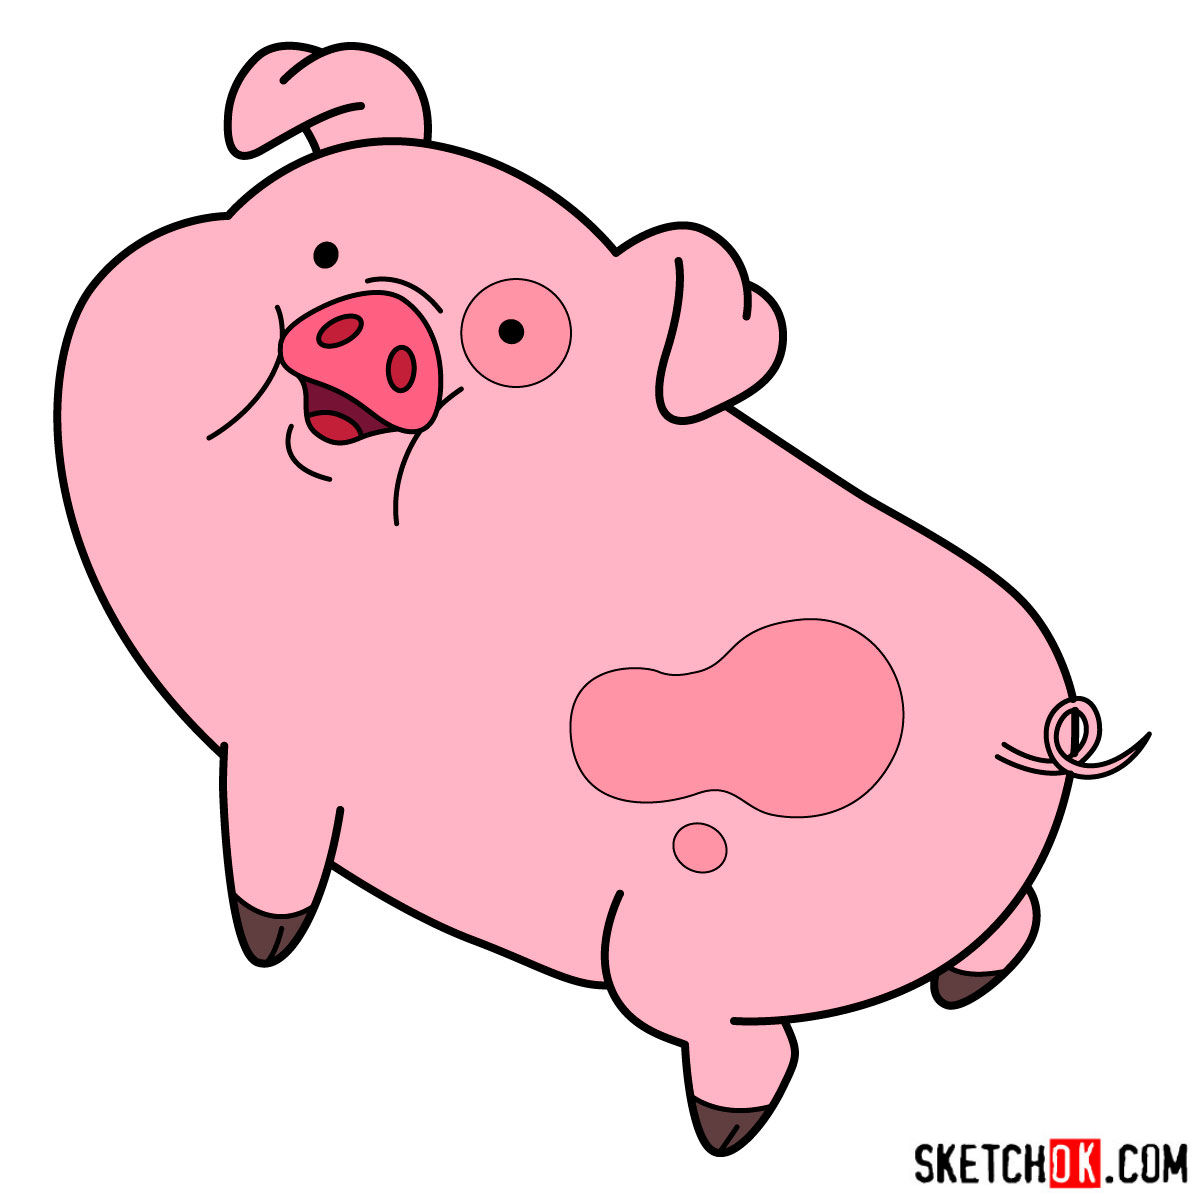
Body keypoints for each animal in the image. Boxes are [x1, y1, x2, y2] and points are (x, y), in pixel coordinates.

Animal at [56, 42, 1149, 1156]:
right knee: (1006, 923)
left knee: (757, 1047)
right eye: (323, 250)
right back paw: (970, 988)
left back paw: (726, 1135)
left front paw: (262, 948)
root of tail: (1034, 735)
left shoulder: (284, 749)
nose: (382, 326)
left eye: (513, 333)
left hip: (684, 948)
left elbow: (270, 857)